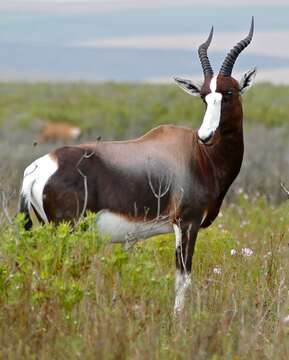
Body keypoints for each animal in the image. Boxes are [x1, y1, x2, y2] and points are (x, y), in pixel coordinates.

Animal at [19, 19, 255, 312]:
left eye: (229, 92)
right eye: (203, 96)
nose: (206, 136)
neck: (199, 156)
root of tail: (38, 168)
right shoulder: (186, 223)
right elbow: (183, 278)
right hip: (68, 230)